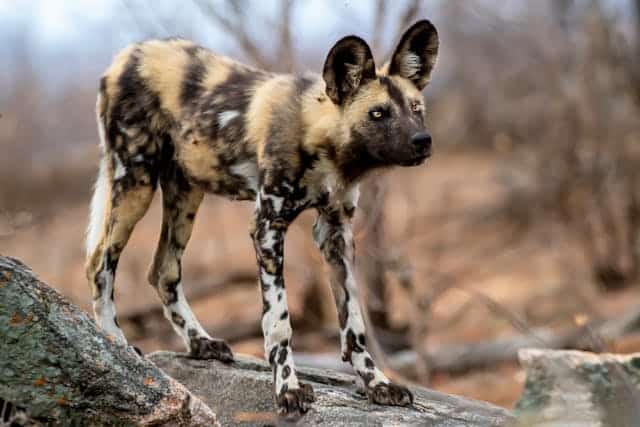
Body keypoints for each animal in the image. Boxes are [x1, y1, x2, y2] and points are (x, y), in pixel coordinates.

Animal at [86, 20, 440, 418]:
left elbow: (354, 325)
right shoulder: (268, 227)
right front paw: (288, 390)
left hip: (186, 193)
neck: (319, 138)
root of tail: (128, 53)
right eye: (378, 114)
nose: (422, 140)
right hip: (136, 182)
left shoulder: (335, 232)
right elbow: (279, 323)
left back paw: (201, 343)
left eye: (416, 108)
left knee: (163, 271)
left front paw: (377, 384)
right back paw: (115, 343)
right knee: (100, 265)